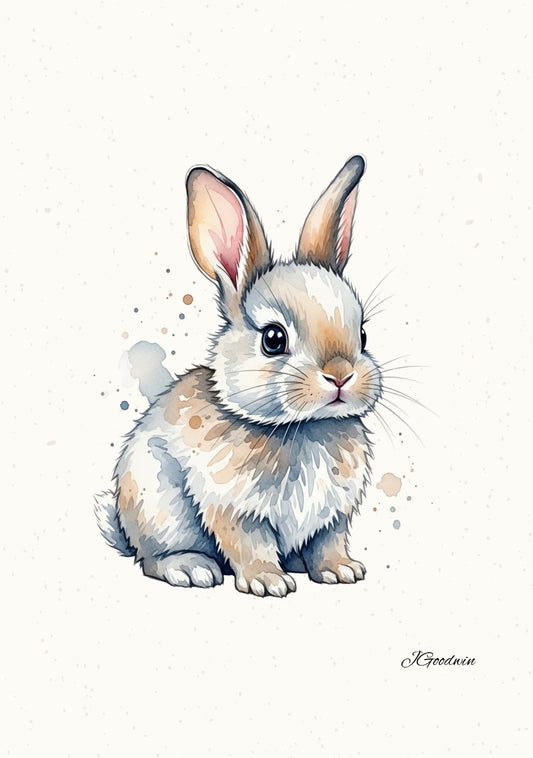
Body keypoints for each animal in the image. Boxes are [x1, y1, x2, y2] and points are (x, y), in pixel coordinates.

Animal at [95, 154, 383, 597]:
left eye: (363, 334)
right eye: (273, 339)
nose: (340, 376)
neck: (303, 427)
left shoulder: (333, 518)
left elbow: (327, 544)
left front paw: (342, 571)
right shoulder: (233, 510)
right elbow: (251, 546)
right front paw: (268, 582)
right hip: (159, 507)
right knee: (153, 560)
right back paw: (191, 569)